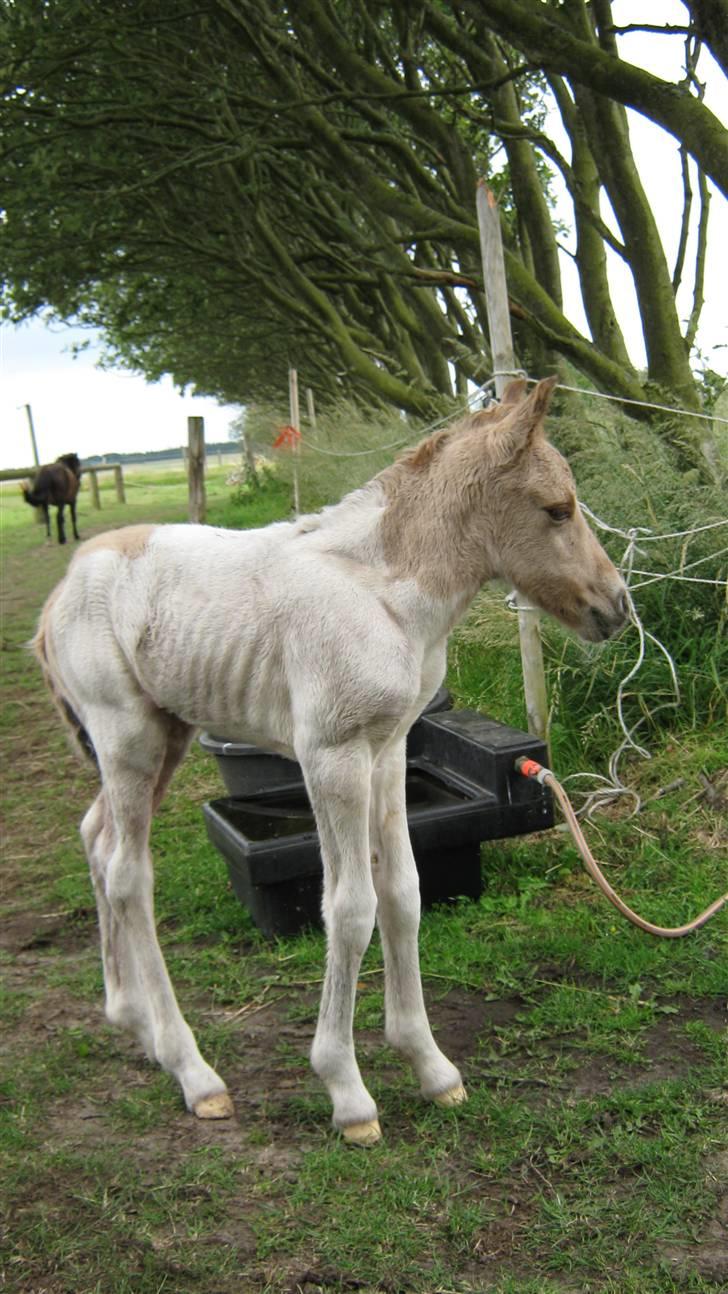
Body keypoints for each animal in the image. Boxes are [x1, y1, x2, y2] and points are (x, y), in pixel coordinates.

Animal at [32, 377, 625, 1149]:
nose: (616, 606)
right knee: (131, 876)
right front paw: (348, 1093)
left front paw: (431, 1066)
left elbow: (402, 891)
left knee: (96, 841)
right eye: (557, 508)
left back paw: (135, 1023)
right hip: (127, 739)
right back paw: (195, 1074)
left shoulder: (389, 747)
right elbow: (347, 908)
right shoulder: (331, 757)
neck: (384, 593)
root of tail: (59, 594)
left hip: (164, 739)